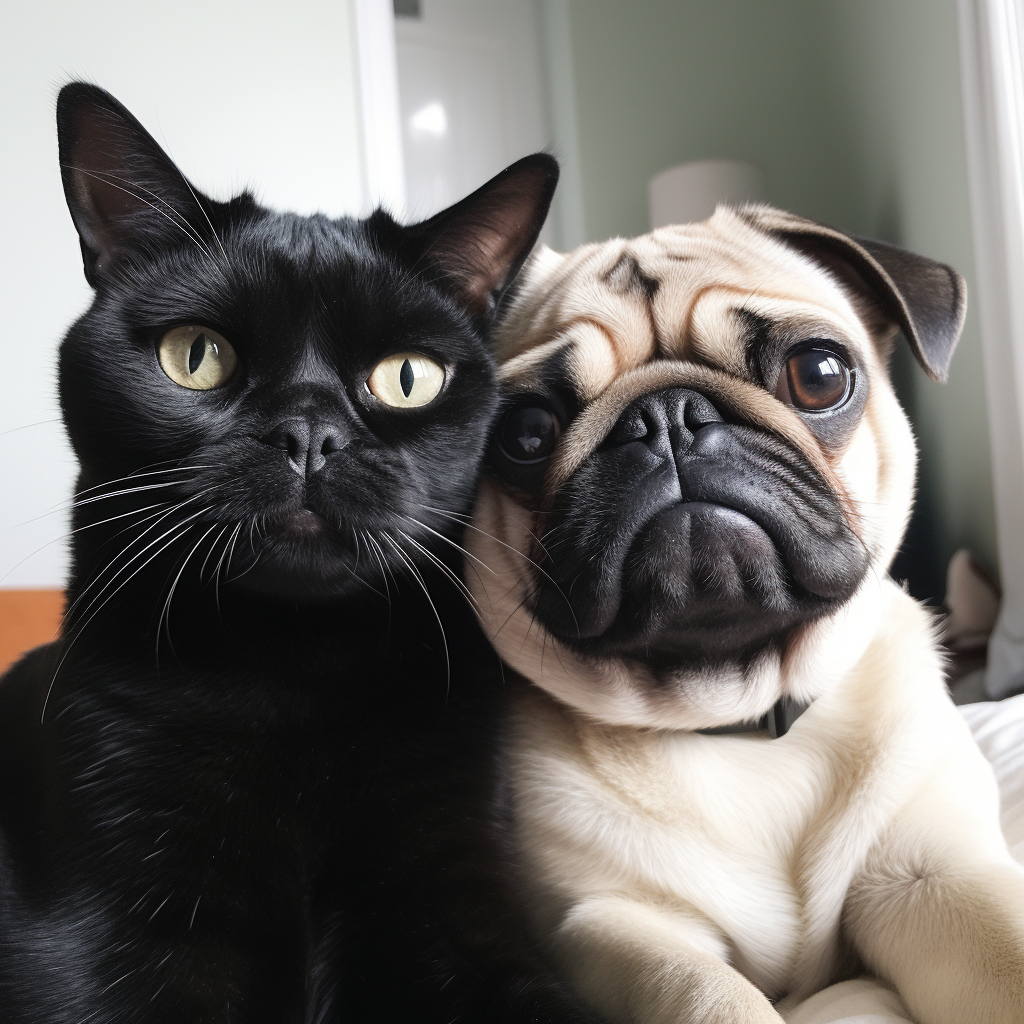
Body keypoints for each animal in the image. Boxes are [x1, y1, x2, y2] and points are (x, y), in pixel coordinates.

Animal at [0, 83, 593, 1024]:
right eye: (196, 357)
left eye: (408, 377)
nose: (310, 435)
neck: (299, 674)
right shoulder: (113, 932)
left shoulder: (460, 894)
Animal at [466, 201, 1024, 1024]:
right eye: (526, 434)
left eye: (818, 375)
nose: (666, 415)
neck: (737, 714)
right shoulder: (607, 926)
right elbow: (715, 998)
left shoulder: (932, 875)